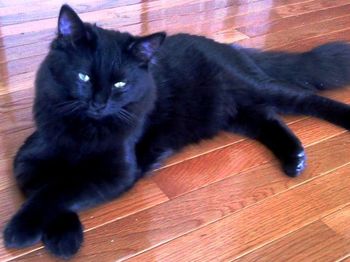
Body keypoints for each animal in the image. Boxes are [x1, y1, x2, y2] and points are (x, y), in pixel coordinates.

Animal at [3, 3, 350, 258]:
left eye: (120, 84)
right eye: (84, 77)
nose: (99, 103)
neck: (86, 130)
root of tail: (229, 47)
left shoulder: (116, 171)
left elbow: (62, 187)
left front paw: (23, 230)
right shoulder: (28, 157)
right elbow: (44, 184)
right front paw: (63, 235)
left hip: (253, 89)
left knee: (305, 98)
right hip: (235, 112)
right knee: (269, 121)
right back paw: (295, 159)